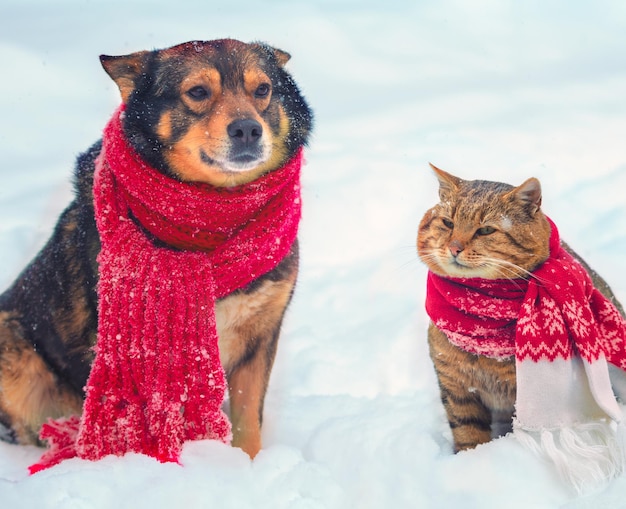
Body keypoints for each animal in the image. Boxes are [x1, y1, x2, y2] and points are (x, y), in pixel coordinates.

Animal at [0, 39, 312, 458]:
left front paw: (247, 466)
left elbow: (249, 426)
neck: (209, 225)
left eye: (262, 90)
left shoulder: (259, 339)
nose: (248, 128)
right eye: (198, 92)